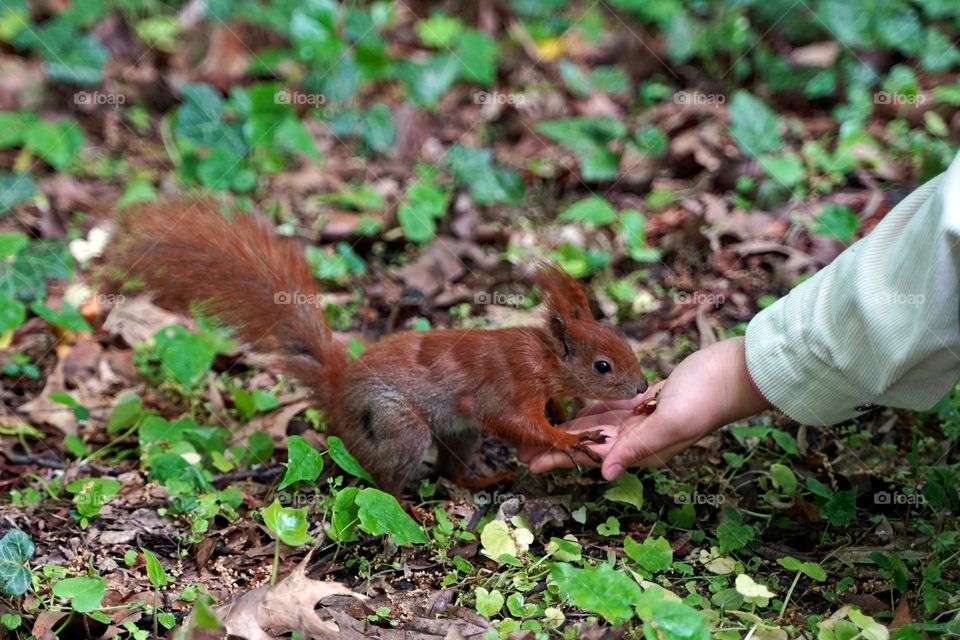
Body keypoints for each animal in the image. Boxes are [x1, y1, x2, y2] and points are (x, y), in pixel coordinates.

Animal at [116, 200, 648, 496]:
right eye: (603, 366)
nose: (643, 388)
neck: (542, 357)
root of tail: (336, 392)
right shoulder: (505, 384)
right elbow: (510, 419)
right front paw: (567, 438)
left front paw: (561, 413)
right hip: (396, 425)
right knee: (385, 482)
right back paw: (410, 510)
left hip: (458, 432)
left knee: (453, 472)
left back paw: (482, 481)